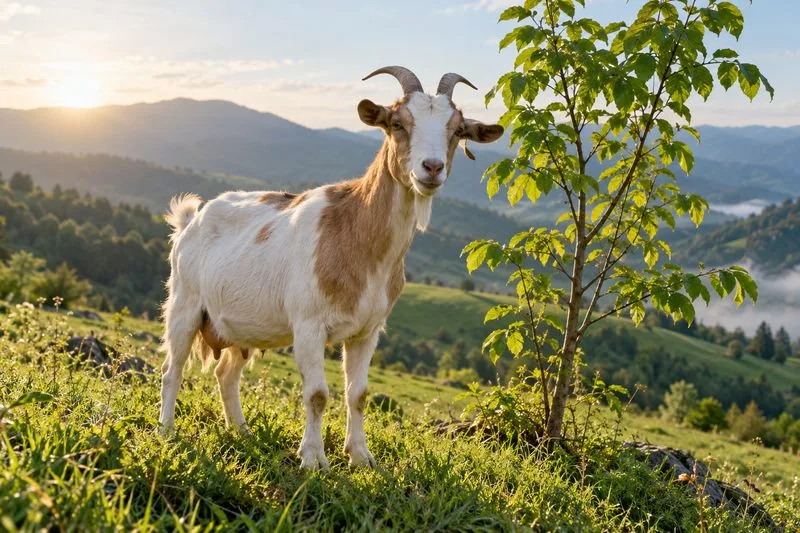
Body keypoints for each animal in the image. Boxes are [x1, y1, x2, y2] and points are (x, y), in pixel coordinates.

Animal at [158, 66, 504, 469]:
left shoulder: (368, 331)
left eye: (457, 129)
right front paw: (313, 458)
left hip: (239, 327)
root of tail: (191, 219)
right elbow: (318, 394)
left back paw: (242, 432)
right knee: (172, 369)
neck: (356, 235)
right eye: (398, 123)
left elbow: (359, 394)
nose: (431, 168)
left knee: (226, 374)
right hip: (184, 304)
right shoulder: (308, 325)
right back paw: (167, 430)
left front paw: (361, 456)